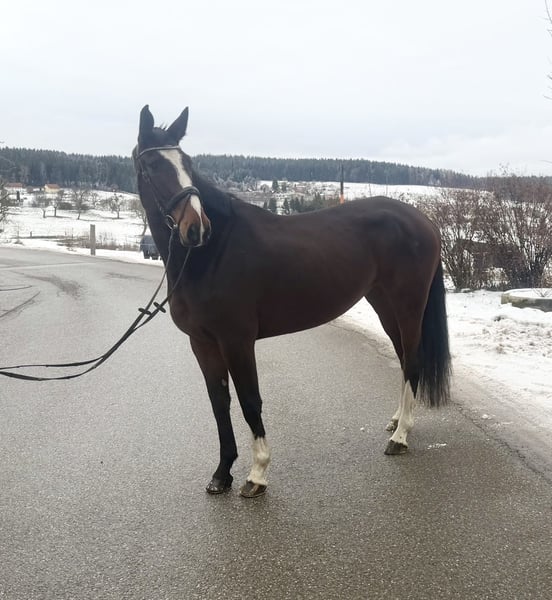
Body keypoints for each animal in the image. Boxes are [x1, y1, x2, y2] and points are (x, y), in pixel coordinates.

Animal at [133, 105, 451, 498]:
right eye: (153, 166)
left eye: (187, 163)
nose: (197, 228)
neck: (212, 254)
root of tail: (425, 221)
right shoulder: (202, 343)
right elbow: (219, 404)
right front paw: (222, 474)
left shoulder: (237, 341)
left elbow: (250, 401)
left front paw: (257, 474)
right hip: (383, 305)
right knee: (406, 359)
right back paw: (396, 422)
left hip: (408, 305)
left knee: (413, 360)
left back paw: (401, 436)